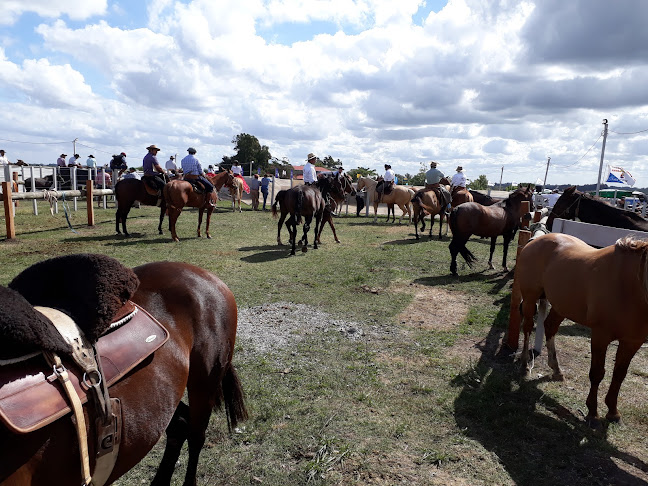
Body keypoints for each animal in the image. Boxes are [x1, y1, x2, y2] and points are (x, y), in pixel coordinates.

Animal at [516, 234, 648, 428]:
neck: (630, 285)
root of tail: (536, 240)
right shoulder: (600, 336)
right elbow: (597, 373)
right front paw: (593, 413)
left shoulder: (632, 341)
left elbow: (619, 375)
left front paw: (613, 412)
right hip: (530, 298)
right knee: (526, 328)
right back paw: (525, 364)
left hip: (561, 305)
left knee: (550, 327)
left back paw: (557, 370)